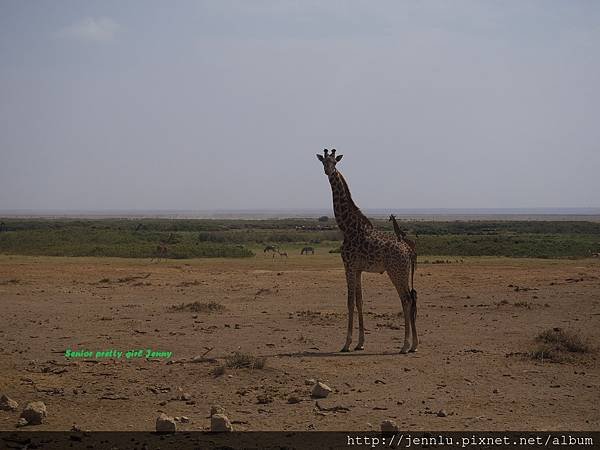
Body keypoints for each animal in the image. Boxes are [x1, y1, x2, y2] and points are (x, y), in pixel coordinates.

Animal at [318, 149, 418, 354]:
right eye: (323, 161)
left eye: (334, 162)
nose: (328, 171)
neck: (347, 227)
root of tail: (409, 251)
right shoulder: (357, 269)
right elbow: (359, 301)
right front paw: (360, 343)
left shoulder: (348, 265)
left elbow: (349, 301)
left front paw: (346, 344)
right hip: (404, 272)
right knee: (412, 298)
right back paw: (414, 345)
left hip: (396, 272)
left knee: (406, 299)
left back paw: (405, 345)